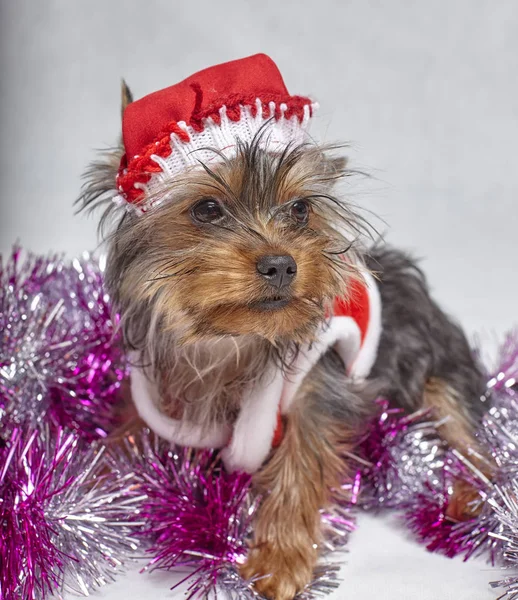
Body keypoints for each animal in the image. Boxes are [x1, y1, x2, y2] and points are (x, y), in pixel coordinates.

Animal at [77, 54, 488, 596]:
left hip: (436, 364)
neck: (229, 339)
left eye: (301, 209)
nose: (280, 264)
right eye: (207, 209)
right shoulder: (153, 386)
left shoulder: (320, 384)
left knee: (467, 433)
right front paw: (94, 485)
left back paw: (469, 496)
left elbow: (302, 463)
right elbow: (129, 430)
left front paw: (279, 559)